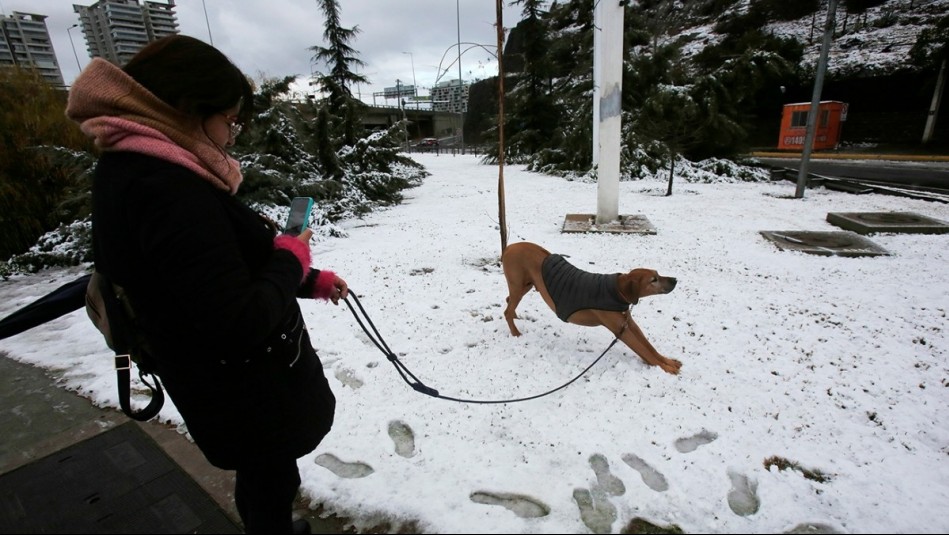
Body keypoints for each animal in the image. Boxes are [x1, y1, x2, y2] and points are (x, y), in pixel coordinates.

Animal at [500, 241, 676, 374]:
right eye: (654, 280)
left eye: (658, 274)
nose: (675, 280)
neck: (618, 290)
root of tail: (509, 247)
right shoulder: (621, 330)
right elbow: (644, 351)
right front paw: (667, 369)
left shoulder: (628, 323)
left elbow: (649, 347)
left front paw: (669, 361)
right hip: (518, 284)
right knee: (507, 310)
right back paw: (515, 332)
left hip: (526, 285)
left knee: (509, 300)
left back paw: (515, 316)